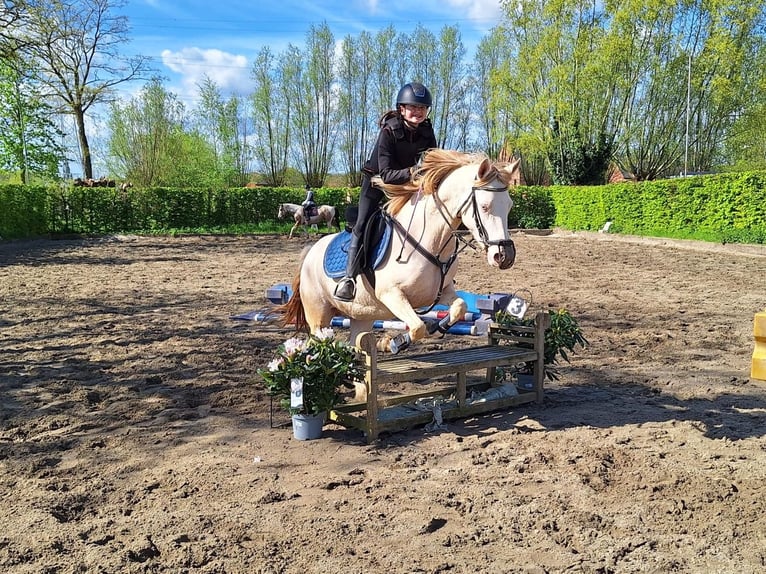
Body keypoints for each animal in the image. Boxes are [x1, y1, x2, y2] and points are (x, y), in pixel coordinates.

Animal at [282, 150, 520, 396]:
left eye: (509, 206)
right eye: (484, 206)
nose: (504, 256)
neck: (431, 239)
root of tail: (310, 252)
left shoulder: (442, 291)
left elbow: (458, 308)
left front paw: (436, 328)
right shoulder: (392, 295)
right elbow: (417, 327)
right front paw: (394, 342)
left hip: (360, 316)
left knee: (354, 345)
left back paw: (355, 385)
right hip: (319, 317)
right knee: (317, 344)